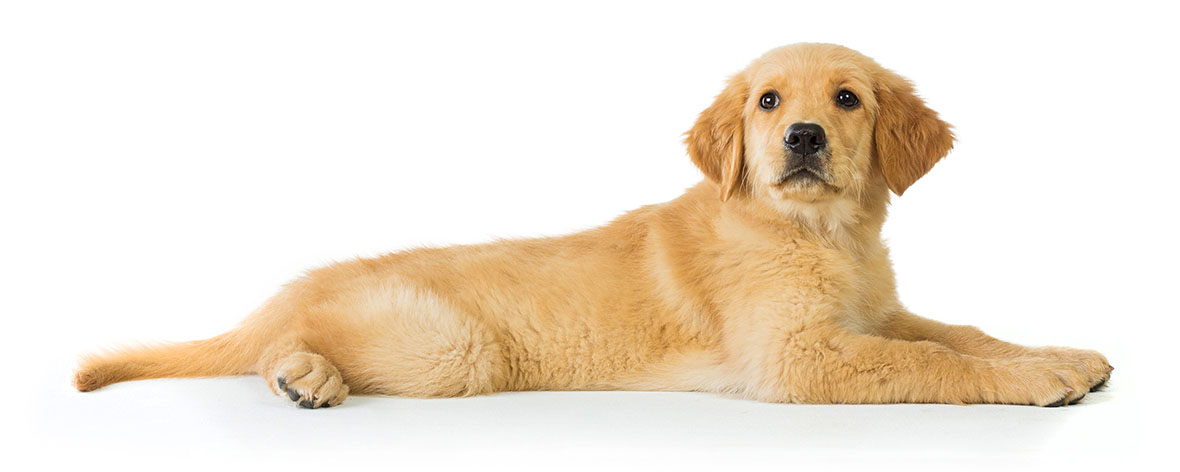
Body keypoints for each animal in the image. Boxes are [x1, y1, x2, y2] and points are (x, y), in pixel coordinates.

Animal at [71, 42, 1104, 408]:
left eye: (846, 99)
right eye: (769, 102)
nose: (803, 137)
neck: (818, 234)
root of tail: (285, 290)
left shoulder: (869, 317)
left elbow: (957, 331)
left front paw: (1061, 354)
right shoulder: (796, 356)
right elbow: (931, 360)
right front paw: (1038, 379)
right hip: (447, 347)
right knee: (271, 348)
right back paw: (304, 374)